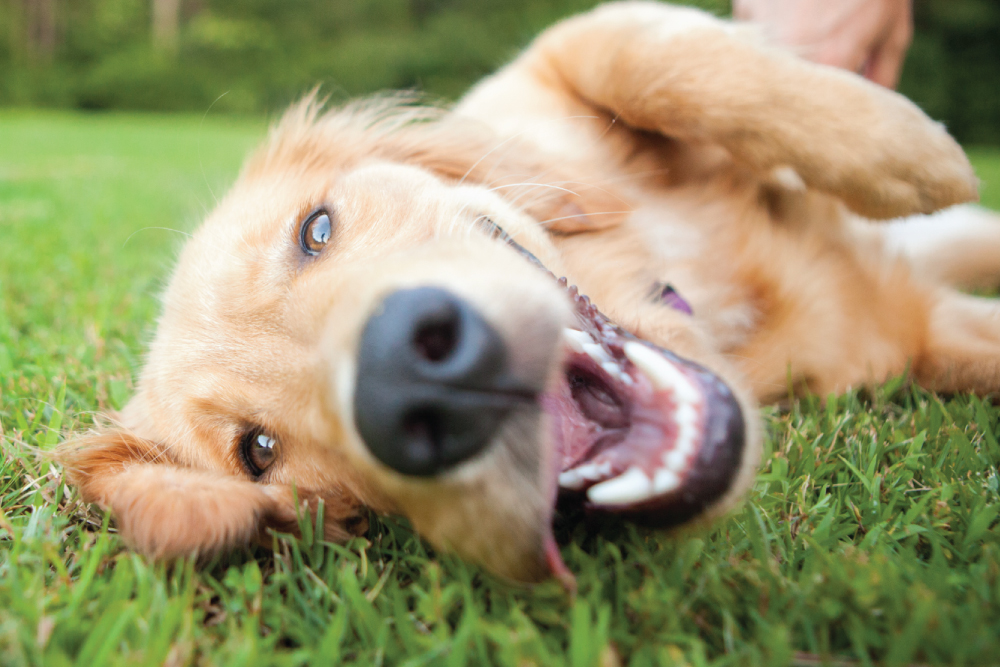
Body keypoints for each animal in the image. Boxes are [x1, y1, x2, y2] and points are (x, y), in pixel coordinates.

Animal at [60, 1, 1000, 584]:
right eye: (259, 452)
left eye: (314, 231)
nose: (414, 374)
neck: (693, 291)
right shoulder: (915, 334)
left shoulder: (552, 63)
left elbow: (649, 52)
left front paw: (906, 151)